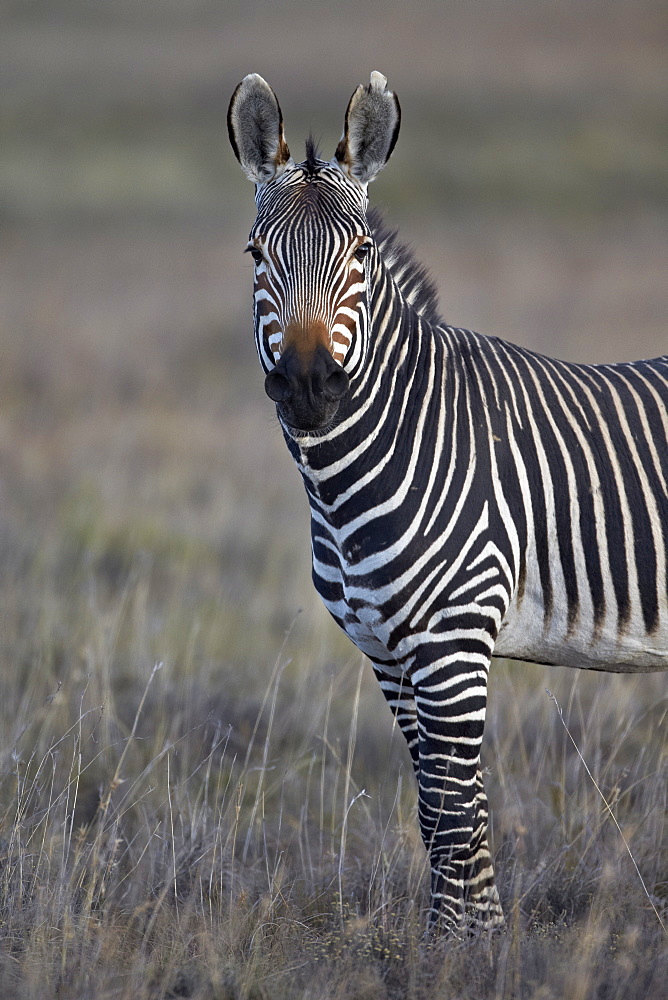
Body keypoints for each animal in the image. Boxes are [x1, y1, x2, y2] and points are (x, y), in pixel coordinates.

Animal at [227, 74, 664, 932]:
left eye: (360, 254)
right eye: (257, 254)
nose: (307, 386)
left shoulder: (454, 643)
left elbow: (457, 808)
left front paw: (466, 945)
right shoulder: (388, 654)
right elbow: (437, 808)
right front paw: (466, 936)